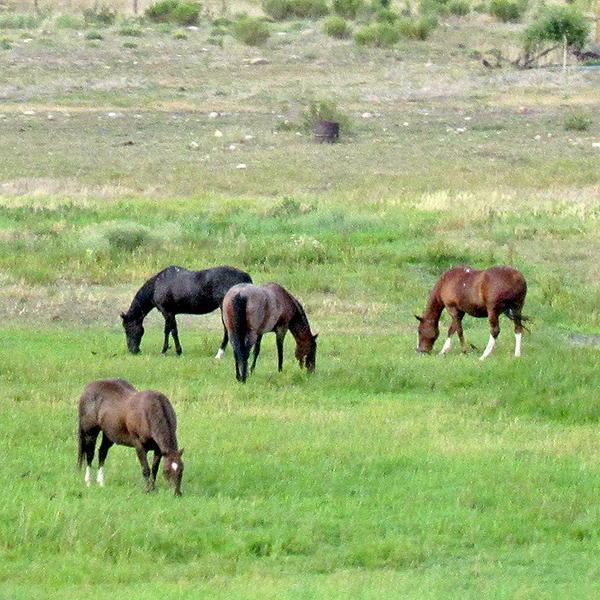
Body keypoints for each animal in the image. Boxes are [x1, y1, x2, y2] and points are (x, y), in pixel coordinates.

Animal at [120, 264, 252, 356]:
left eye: (127, 329)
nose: (133, 350)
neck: (158, 284)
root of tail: (245, 276)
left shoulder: (167, 312)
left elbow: (171, 331)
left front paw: (172, 351)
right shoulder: (169, 313)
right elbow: (170, 330)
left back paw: (220, 353)